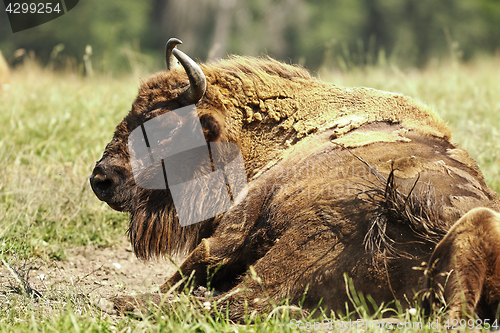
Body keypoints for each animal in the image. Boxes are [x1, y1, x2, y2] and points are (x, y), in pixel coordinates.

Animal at [91, 38, 500, 320]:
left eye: (165, 127)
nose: (101, 178)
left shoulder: (237, 224)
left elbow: (198, 261)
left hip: (312, 232)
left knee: (242, 299)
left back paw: (127, 301)